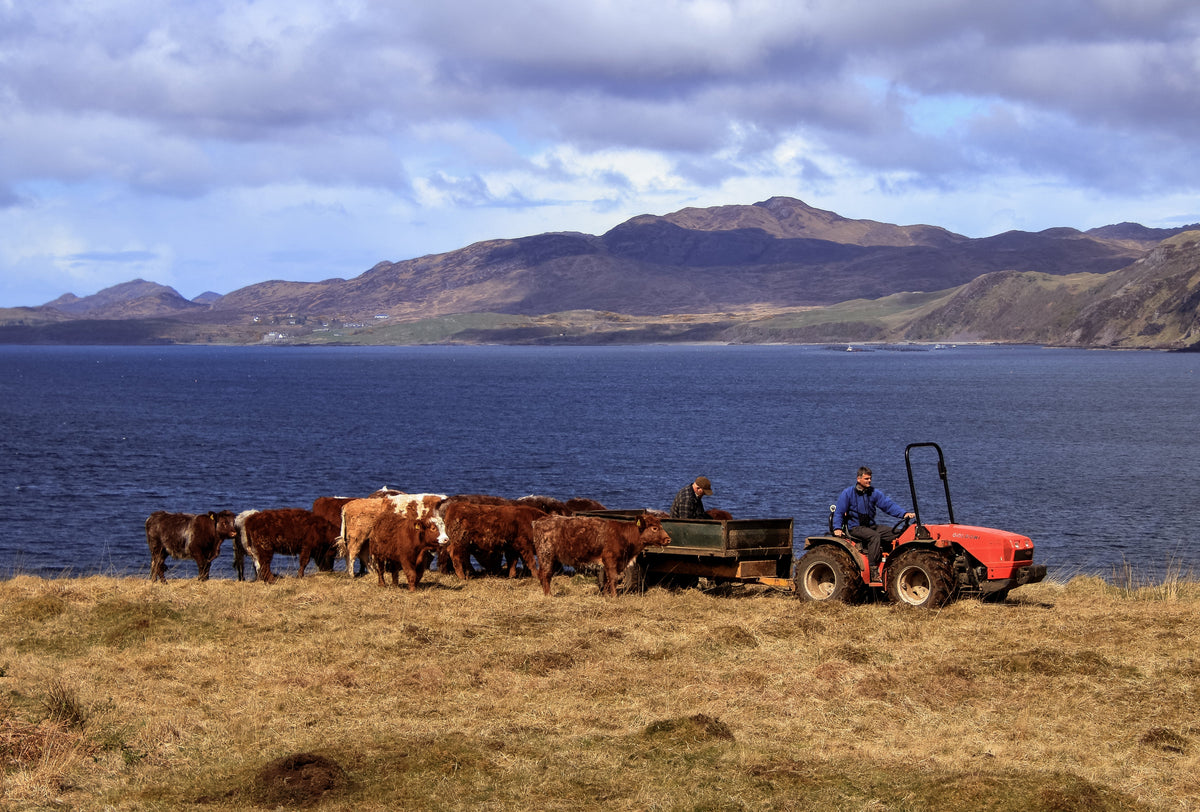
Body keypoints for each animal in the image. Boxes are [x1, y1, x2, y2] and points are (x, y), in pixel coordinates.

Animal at [535, 513, 676, 594]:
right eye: (654, 528)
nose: (668, 539)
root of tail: (540, 520)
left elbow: (611, 579)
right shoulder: (610, 559)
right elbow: (613, 578)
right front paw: (614, 597)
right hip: (546, 555)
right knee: (545, 574)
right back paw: (548, 595)